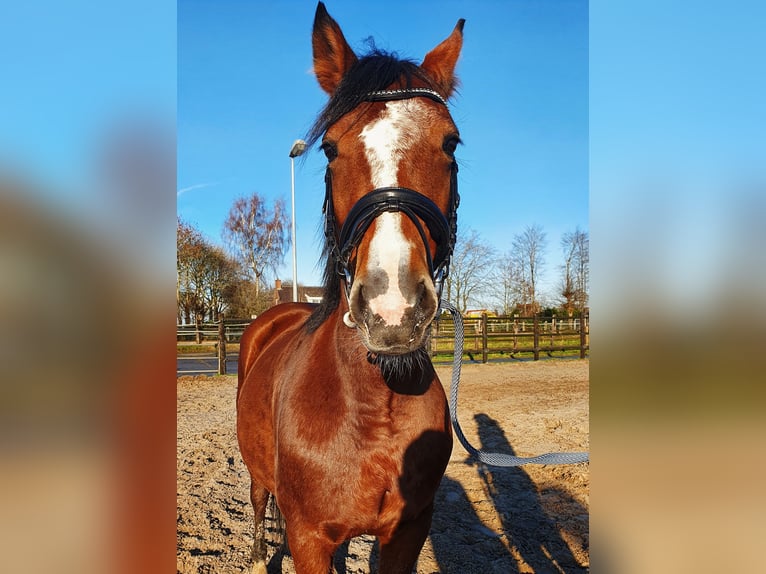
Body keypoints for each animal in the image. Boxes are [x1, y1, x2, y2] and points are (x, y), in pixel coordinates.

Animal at [238, 3, 468, 572]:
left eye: (450, 142)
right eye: (330, 148)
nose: (393, 308)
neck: (372, 405)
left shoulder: (408, 531)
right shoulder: (308, 537)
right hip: (258, 475)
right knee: (257, 499)